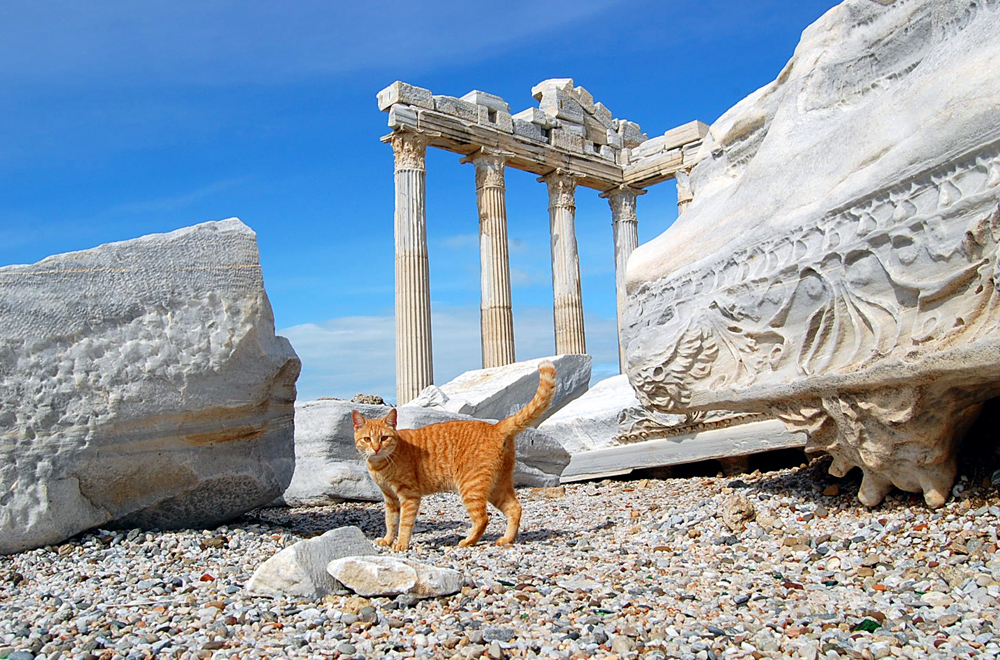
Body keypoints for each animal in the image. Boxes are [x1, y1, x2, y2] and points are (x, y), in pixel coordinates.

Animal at [352, 364, 560, 548]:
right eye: (367, 439)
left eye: (384, 438)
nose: (376, 448)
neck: (381, 464)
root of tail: (495, 427)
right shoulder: (390, 499)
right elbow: (390, 521)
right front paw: (388, 540)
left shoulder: (409, 495)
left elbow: (404, 523)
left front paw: (401, 544)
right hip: (497, 486)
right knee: (515, 508)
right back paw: (506, 539)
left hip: (471, 486)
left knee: (483, 518)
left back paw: (468, 542)